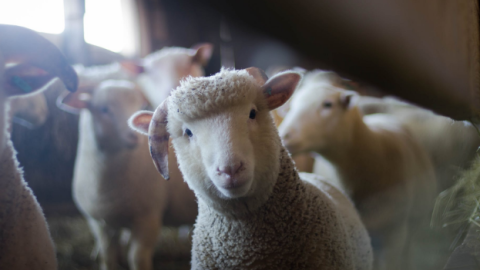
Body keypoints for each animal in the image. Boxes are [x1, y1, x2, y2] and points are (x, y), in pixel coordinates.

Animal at [58, 78, 197, 270]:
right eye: (104, 109)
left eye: (139, 105)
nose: (134, 136)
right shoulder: (99, 223)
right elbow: (107, 257)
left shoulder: (148, 218)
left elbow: (137, 258)